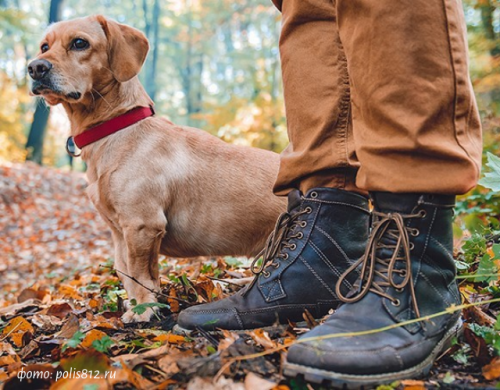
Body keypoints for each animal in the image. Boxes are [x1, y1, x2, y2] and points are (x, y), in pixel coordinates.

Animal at [28, 15, 286, 322]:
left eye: (80, 43)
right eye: (44, 46)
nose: (34, 68)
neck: (117, 130)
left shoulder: (142, 225)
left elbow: (141, 275)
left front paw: (142, 310)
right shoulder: (119, 233)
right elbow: (125, 272)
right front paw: (135, 304)